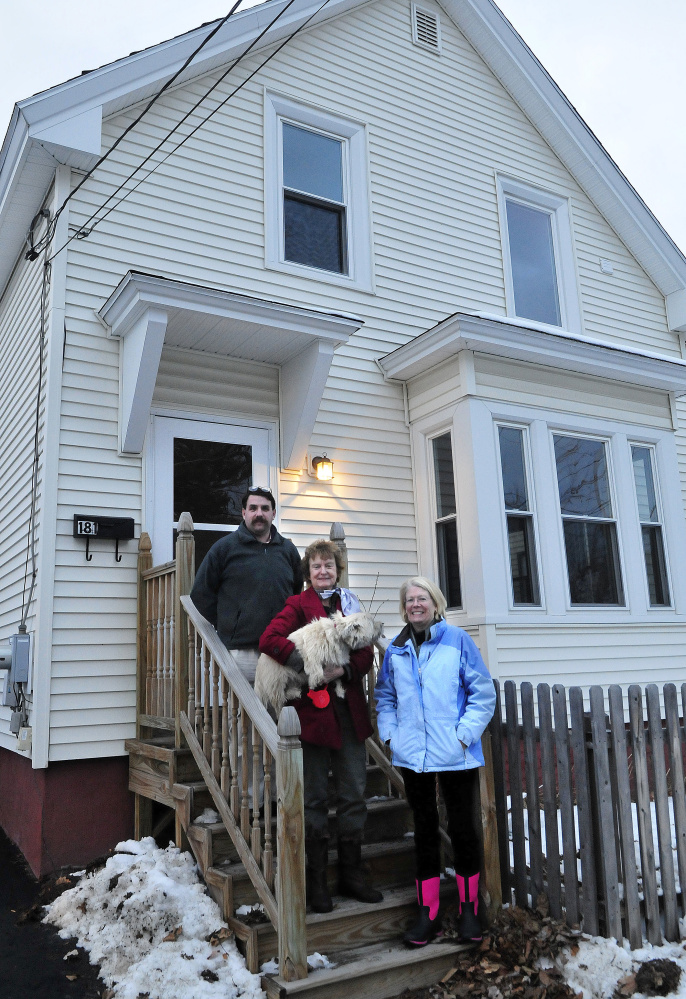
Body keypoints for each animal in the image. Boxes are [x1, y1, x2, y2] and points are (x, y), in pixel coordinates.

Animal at [255, 612, 384, 716]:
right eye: (372, 622)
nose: (382, 623)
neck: (338, 635)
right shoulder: (312, 652)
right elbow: (315, 667)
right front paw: (315, 680)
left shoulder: (335, 662)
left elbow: (337, 678)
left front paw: (339, 690)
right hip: (276, 683)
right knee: (279, 702)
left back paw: (294, 692)